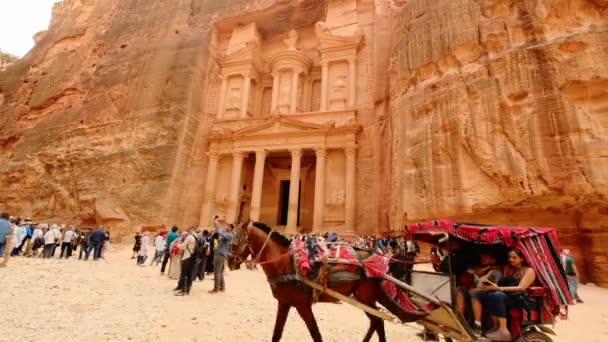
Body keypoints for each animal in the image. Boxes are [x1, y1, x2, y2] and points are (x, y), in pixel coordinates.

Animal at [226, 222, 426, 342]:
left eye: (235, 241)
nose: (229, 262)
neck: (285, 263)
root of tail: (377, 261)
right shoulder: (284, 302)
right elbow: (277, 333)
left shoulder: (302, 304)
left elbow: (316, 334)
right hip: (364, 298)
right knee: (376, 321)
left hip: (365, 297)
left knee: (377, 321)